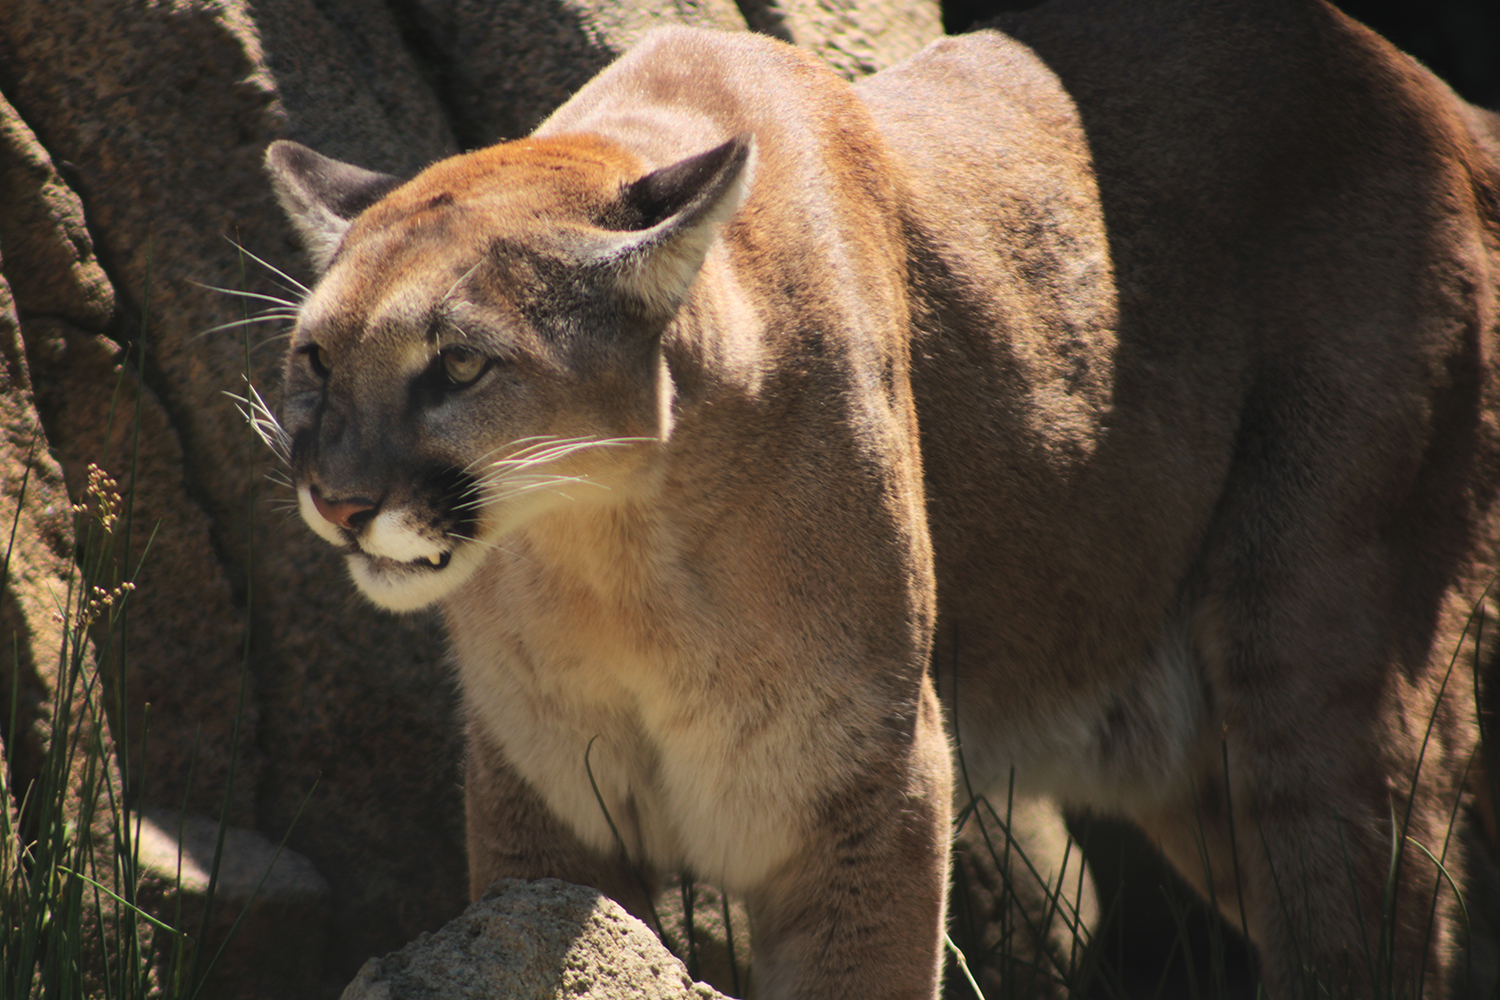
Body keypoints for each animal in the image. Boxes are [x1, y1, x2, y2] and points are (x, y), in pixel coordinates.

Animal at [262, 0, 1500, 996]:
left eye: (460, 365)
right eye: (315, 358)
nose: (338, 499)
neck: (613, 551)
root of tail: (1423, 84)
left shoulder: (866, 778)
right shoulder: (541, 793)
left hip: (1321, 654)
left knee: (1375, 909)